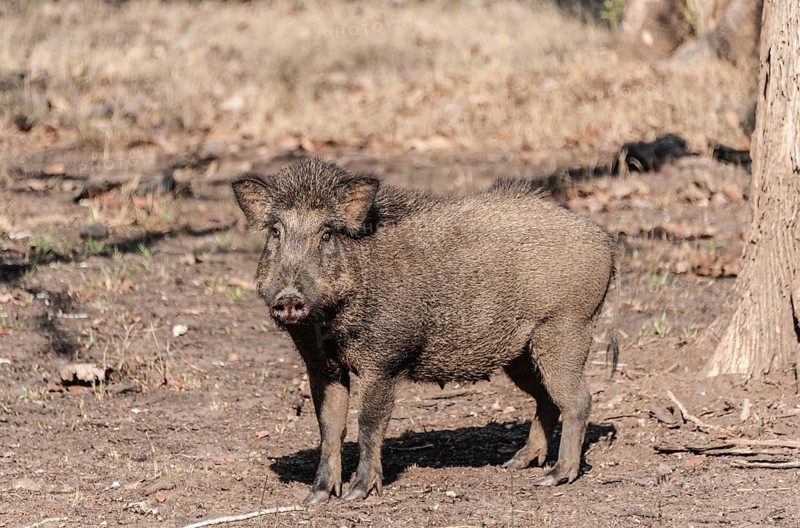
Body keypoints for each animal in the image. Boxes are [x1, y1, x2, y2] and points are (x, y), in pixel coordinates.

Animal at [232, 157, 617, 504]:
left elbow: (368, 425)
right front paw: (315, 498)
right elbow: (330, 429)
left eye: (327, 233)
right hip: (521, 354)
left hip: (566, 328)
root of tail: (604, 239)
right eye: (275, 232)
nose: (288, 298)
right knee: (546, 400)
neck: (330, 320)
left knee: (579, 400)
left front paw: (357, 495)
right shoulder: (321, 367)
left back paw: (554, 477)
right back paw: (516, 464)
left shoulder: (384, 362)